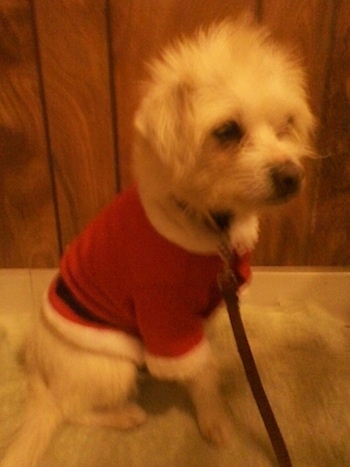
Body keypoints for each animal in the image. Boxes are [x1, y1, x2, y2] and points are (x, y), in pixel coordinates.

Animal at [0, 18, 314, 467]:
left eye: (286, 124)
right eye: (227, 131)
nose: (292, 176)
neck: (211, 226)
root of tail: (37, 369)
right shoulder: (167, 320)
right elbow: (201, 373)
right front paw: (215, 422)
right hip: (111, 367)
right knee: (71, 408)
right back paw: (124, 415)